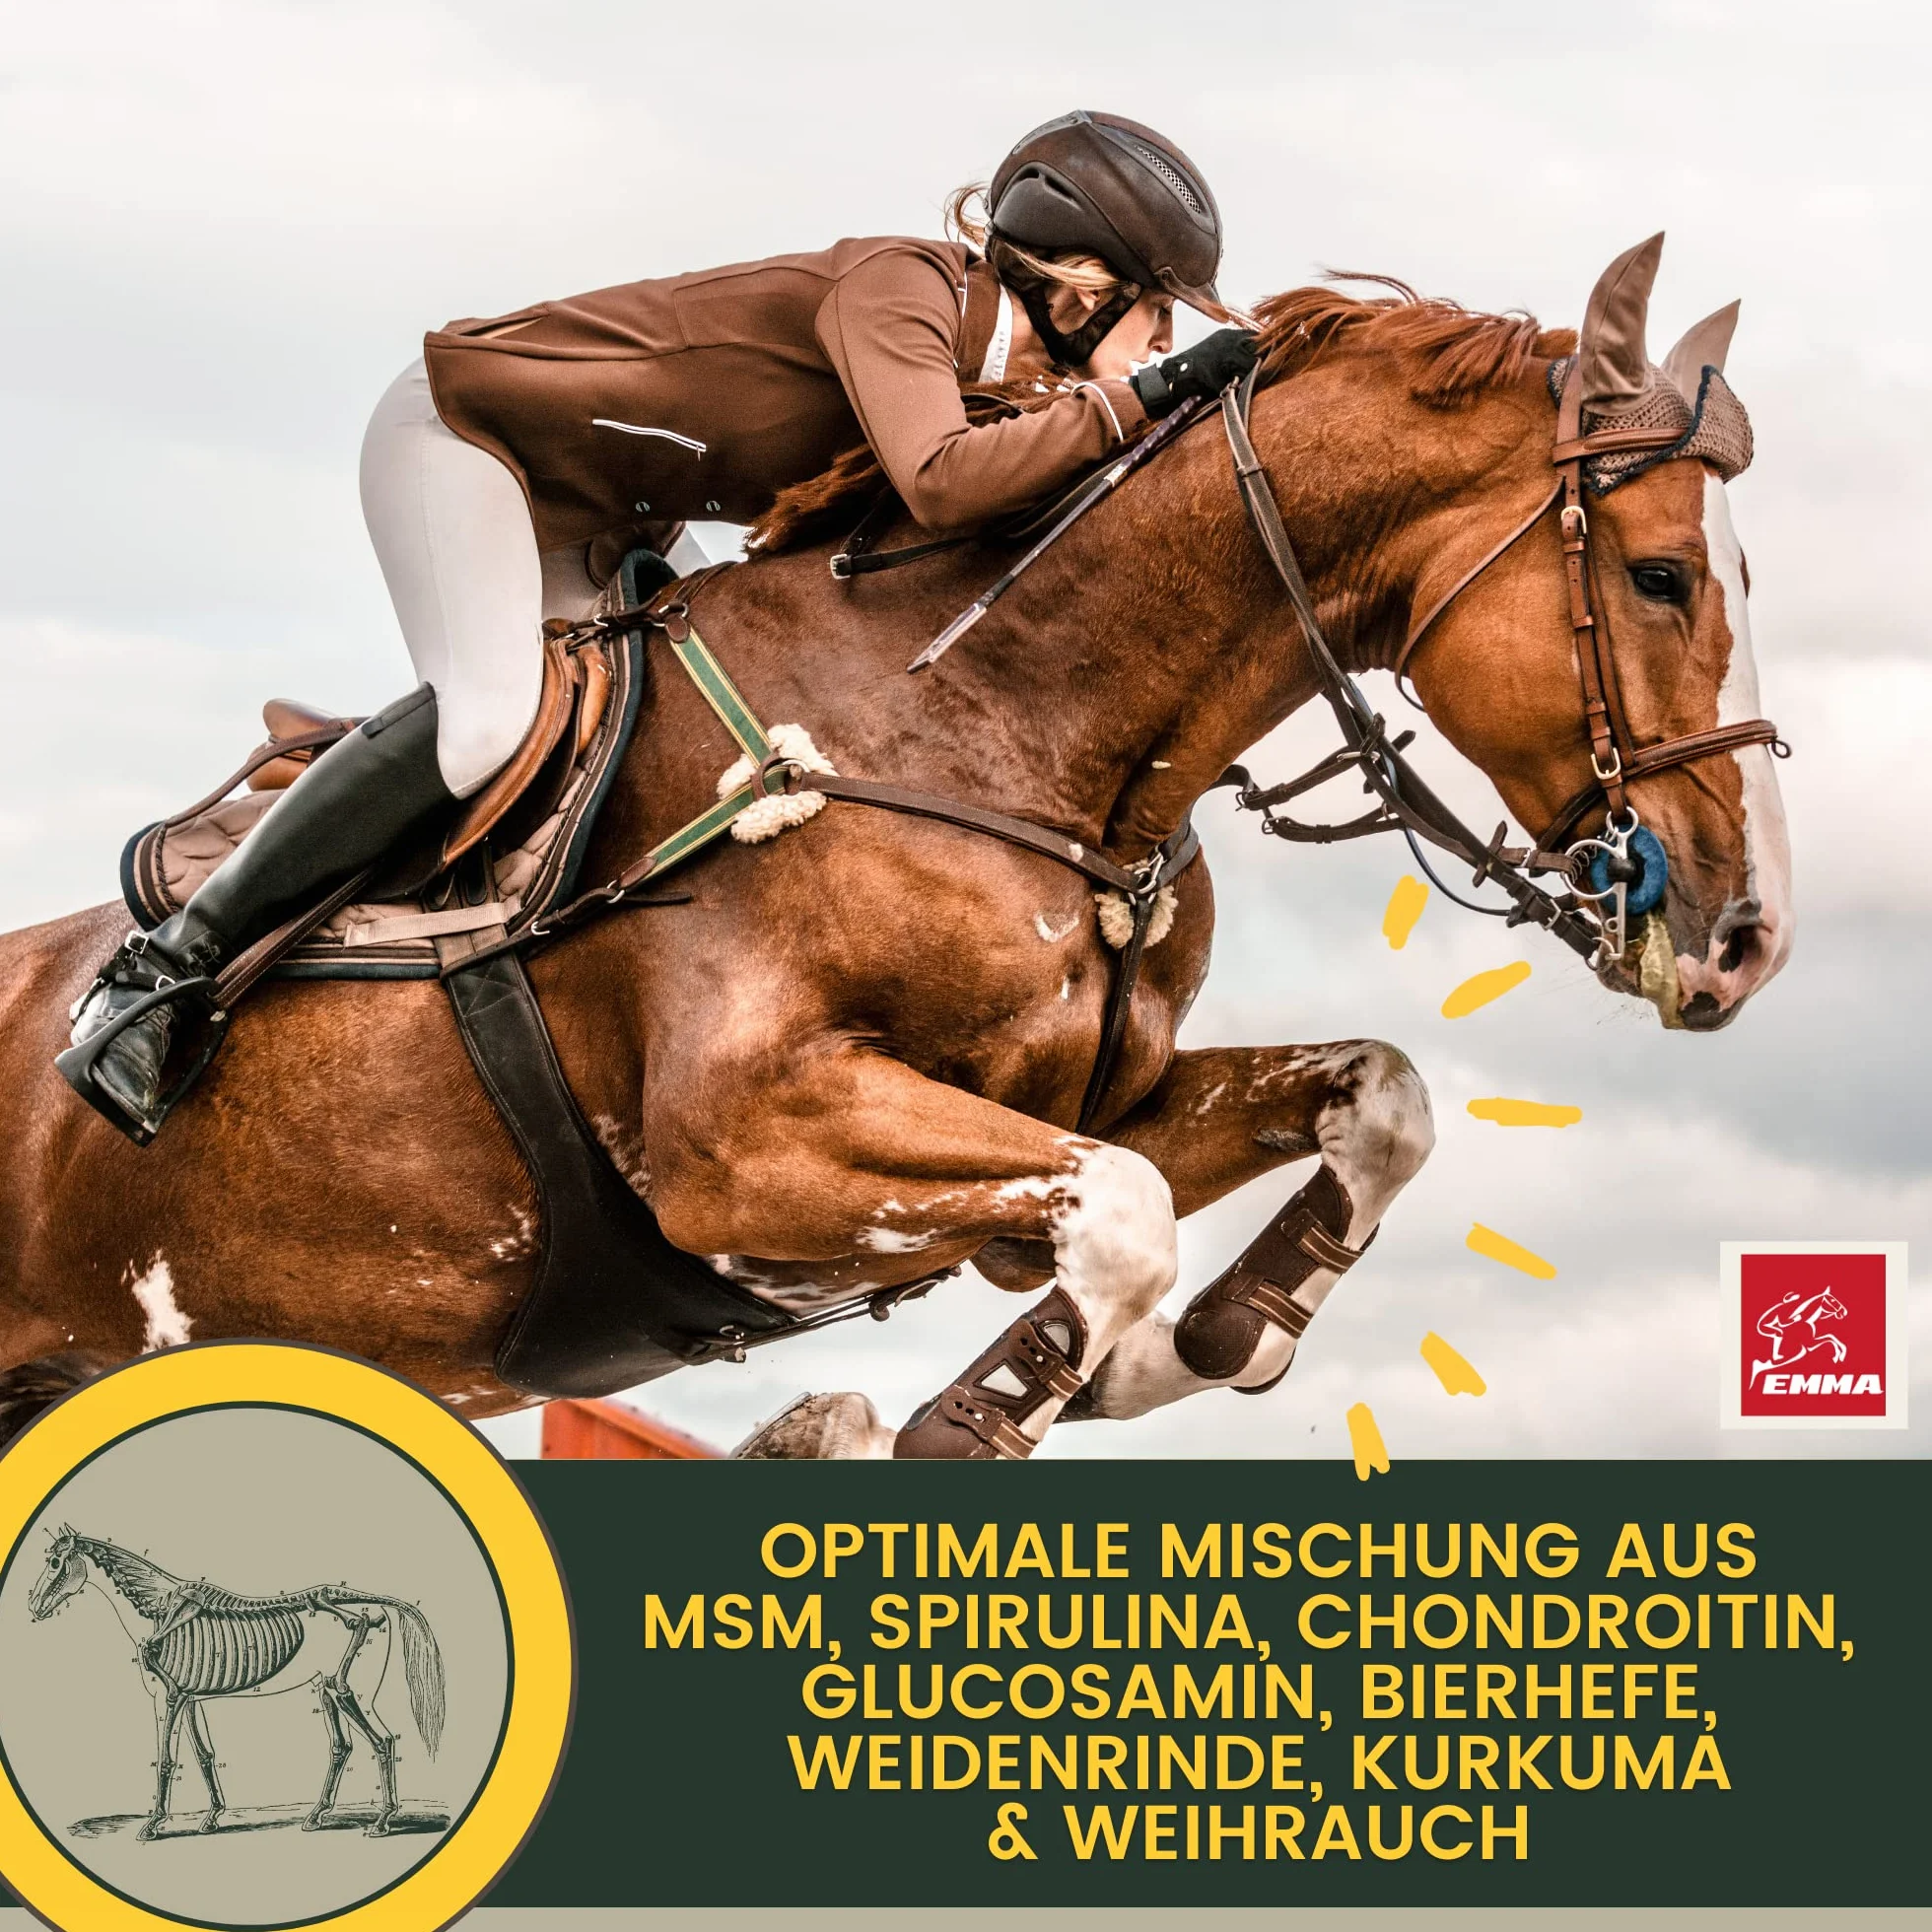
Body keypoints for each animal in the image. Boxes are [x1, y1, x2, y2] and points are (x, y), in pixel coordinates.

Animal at [0, 235, 1792, 1457]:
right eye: (1658, 578)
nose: (1749, 940)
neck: (995, 722)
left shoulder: (1099, 1094)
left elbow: (1372, 1104)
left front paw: (1208, 1341)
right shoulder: (744, 1141)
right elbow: (1125, 1213)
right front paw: (977, 1415)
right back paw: (138, 1020)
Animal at [25, 1526, 445, 1838]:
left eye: (55, 1562)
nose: (33, 1606)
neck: (157, 1609)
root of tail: (371, 1605)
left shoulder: (169, 1697)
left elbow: (166, 1759)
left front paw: (152, 1825)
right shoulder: (192, 1698)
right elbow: (204, 1755)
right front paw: (211, 1818)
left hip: (347, 1689)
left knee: (383, 1740)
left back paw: (382, 1823)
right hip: (323, 1688)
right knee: (342, 1746)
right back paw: (315, 1817)